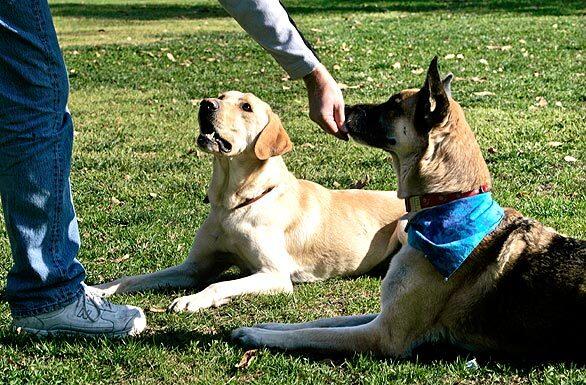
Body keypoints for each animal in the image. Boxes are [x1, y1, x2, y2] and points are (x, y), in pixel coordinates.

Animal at [94, 91, 406, 312]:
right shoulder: (193, 268)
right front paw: (100, 289)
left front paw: (190, 300)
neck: (232, 204)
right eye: (221, 96)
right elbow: (134, 278)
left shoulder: (274, 274)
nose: (206, 104)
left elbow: (218, 285)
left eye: (246, 107)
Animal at [233, 57, 584, 360]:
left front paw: (257, 336)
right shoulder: (383, 315)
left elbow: (312, 335)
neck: (446, 202)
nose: (344, 109)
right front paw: (267, 325)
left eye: (393, 105)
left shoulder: (383, 334)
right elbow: (320, 322)